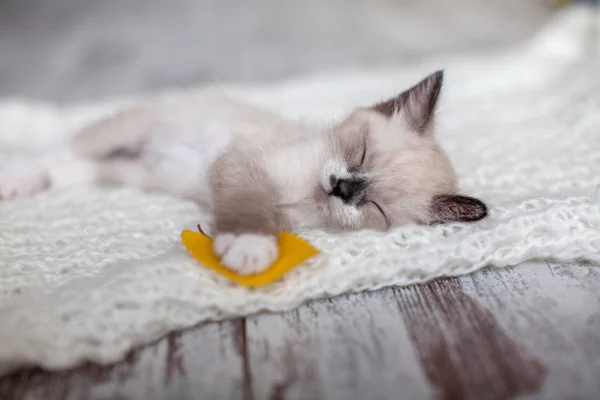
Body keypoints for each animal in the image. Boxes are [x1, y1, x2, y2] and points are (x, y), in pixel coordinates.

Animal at [0, 69, 486, 276]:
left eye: (376, 206)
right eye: (361, 152)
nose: (342, 187)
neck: (306, 191)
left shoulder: (282, 209)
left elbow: (263, 210)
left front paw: (250, 244)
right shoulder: (246, 163)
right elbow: (249, 200)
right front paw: (249, 246)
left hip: (133, 170)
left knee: (80, 166)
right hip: (127, 131)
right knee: (67, 147)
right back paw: (14, 177)